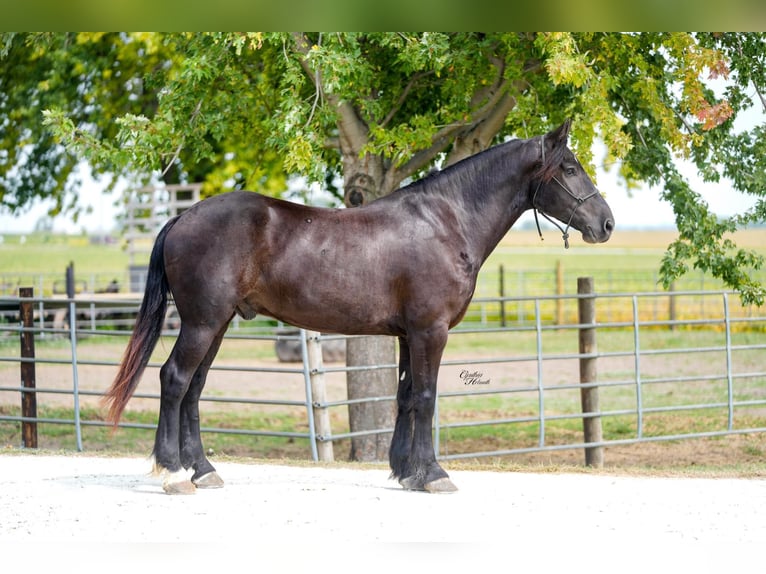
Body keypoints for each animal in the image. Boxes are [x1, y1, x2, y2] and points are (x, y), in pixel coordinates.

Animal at [104, 119, 614, 494]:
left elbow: (406, 396)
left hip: (218, 322)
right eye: (570, 168)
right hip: (203, 322)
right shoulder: (431, 330)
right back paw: (173, 473)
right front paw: (434, 475)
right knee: (175, 379)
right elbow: (426, 397)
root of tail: (183, 217)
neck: (446, 221)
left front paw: (406, 472)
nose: (607, 223)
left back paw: (204, 469)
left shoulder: (410, 334)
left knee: (194, 387)